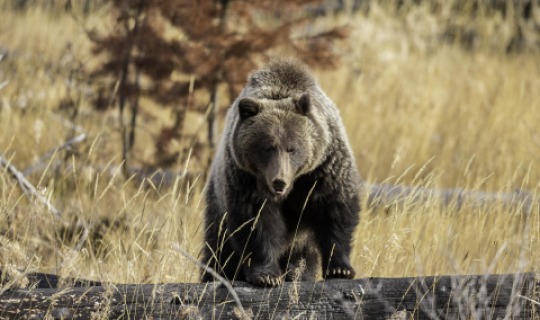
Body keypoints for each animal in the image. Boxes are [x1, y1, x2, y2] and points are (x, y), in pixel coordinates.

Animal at [200, 58, 360, 288]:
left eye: (291, 148)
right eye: (267, 147)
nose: (279, 182)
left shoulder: (325, 168)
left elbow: (336, 211)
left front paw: (340, 268)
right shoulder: (247, 178)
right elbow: (257, 222)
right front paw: (267, 275)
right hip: (217, 203)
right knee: (220, 247)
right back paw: (216, 274)